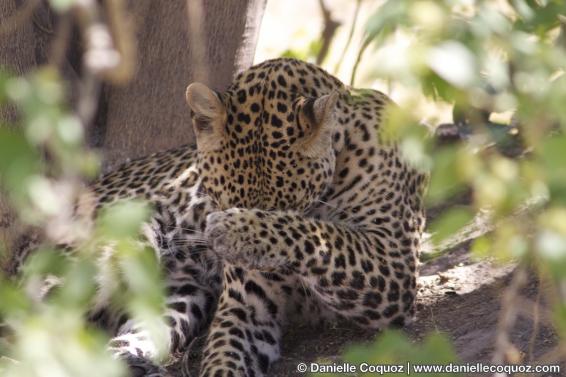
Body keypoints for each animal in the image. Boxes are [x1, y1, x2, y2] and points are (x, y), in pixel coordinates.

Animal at [8, 56, 428, 376]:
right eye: (220, 198)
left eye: (293, 204)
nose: (263, 274)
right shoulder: (243, 310)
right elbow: (224, 361)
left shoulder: (393, 260)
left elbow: (322, 235)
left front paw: (237, 230)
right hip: (117, 243)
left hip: (178, 296)